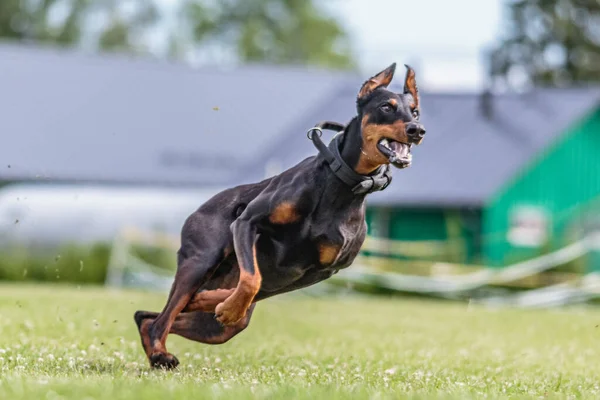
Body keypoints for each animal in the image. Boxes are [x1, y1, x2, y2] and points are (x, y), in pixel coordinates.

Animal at [136, 62, 426, 368]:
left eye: (415, 111)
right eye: (386, 106)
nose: (417, 130)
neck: (341, 188)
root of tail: (198, 209)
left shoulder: (321, 271)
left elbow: (253, 287)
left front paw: (221, 304)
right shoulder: (247, 222)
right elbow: (252, 280)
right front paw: (225, 304)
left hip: (216, 328)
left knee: (149, 317)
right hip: (201, 261)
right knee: (163, 318)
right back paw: (161, 352)